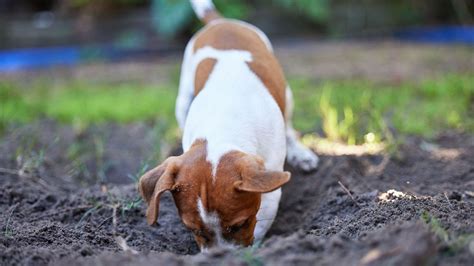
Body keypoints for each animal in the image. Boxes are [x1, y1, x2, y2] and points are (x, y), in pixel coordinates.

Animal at [139, 0, 320, 250]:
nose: (220, 256)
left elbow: (261, 223)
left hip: (287, 95)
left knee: (290, 126)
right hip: (182, 99)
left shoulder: (270, 191)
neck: (222, 125)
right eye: (194, 230)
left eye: (240, 225)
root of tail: (221, 21)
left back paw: (301, 153)